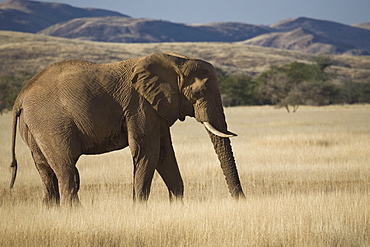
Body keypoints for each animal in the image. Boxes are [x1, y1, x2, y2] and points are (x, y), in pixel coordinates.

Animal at [8, 52, 244, 206]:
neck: (176, 60)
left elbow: (164, 154)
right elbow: (147, 152)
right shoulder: (139, 106)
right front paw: (139, 209)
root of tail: (21, 96)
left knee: (45, 171)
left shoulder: (156, 110)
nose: (240, 200)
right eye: (200, 92)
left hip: (33, 126)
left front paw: (176, 207)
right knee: (67, 171)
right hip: (50, 123)